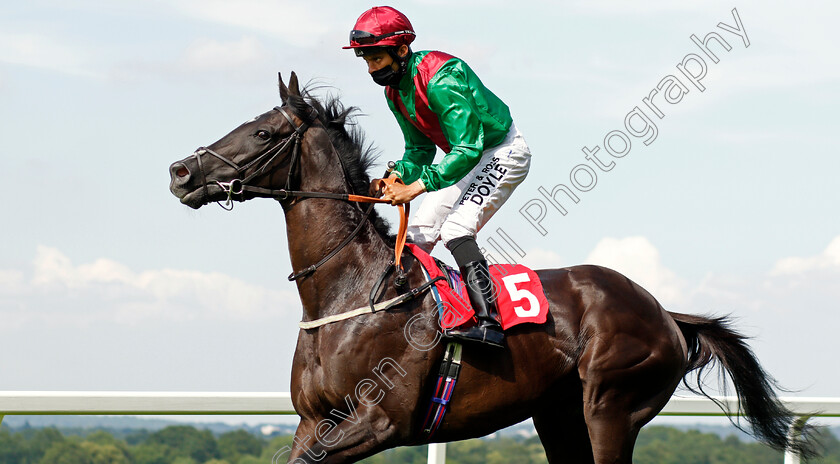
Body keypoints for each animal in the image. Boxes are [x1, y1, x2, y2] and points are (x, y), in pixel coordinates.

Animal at [169, 70, 812, 462]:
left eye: (263, 132)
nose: (180, 171)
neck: (349, 292)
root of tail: (666, 314)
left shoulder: (380, 422)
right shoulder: (312, 420)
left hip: (612, 406)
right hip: (559, 414)